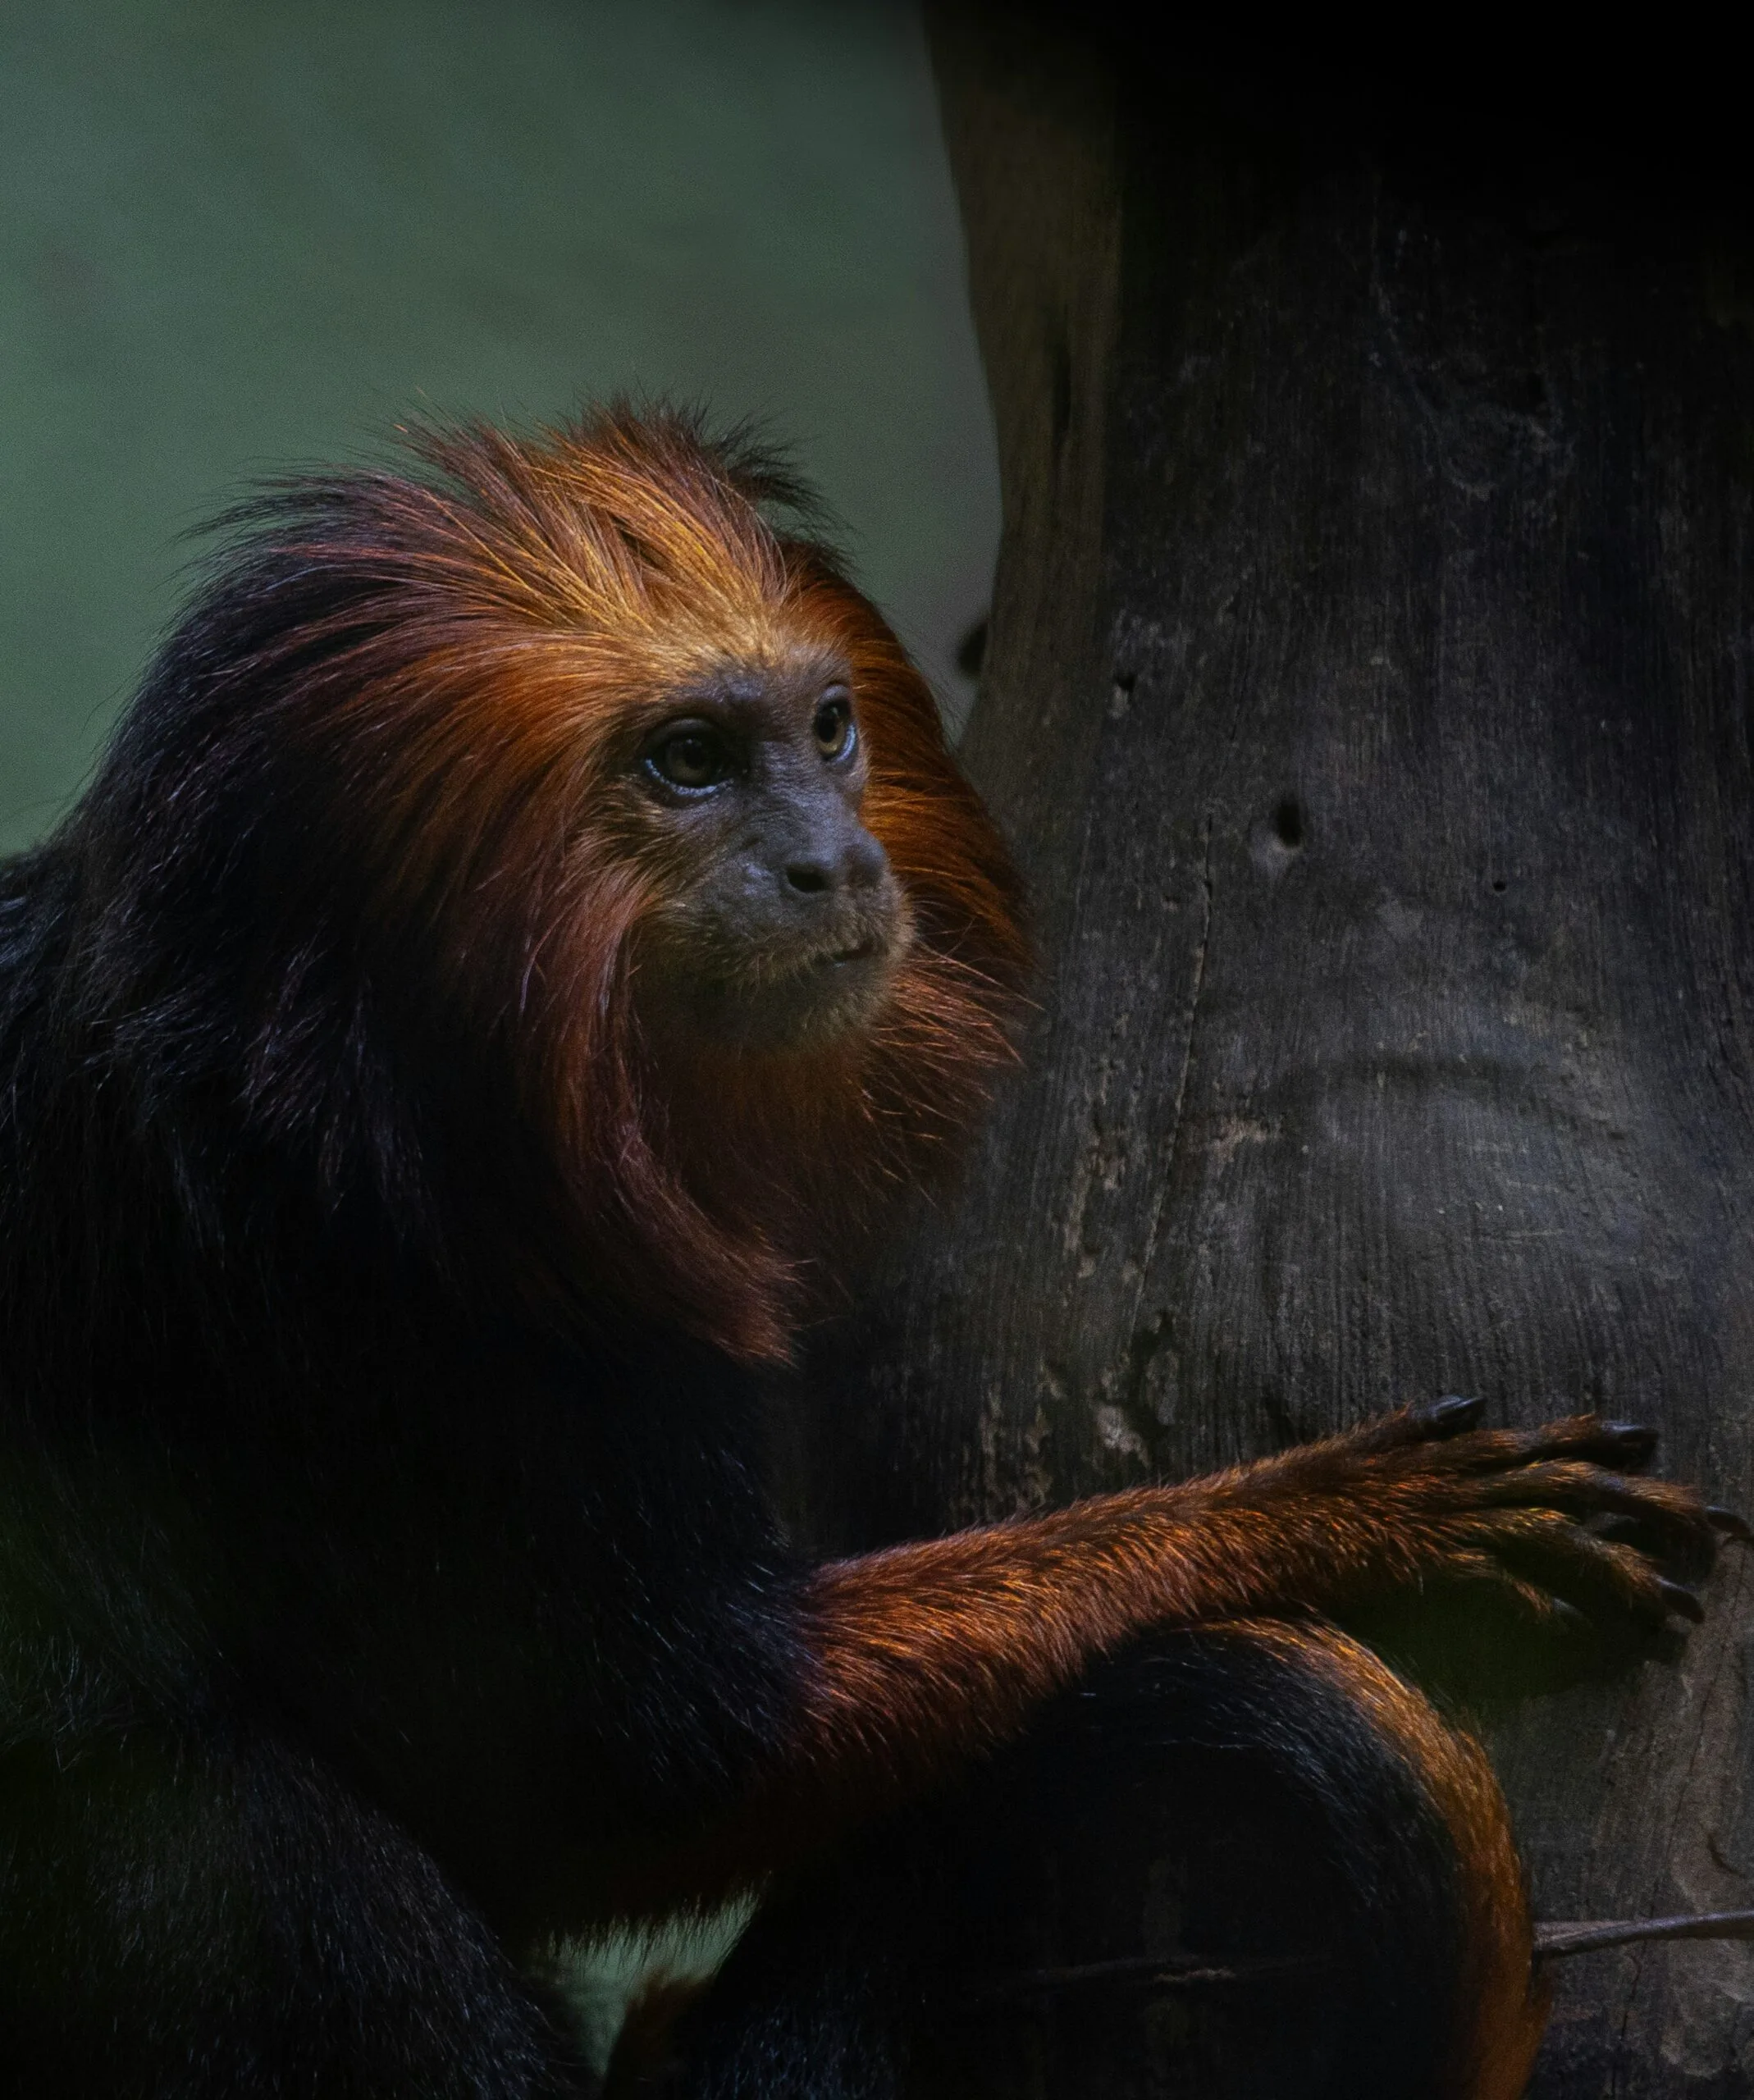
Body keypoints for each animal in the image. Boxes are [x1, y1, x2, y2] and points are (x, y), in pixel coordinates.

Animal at [0, 407, 1730, 2100]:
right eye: (689, 763)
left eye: (826, 732)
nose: (832, 861)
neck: (349, 1049)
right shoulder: (405, 1304)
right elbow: (640, 1767)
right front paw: (1322, 1521)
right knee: (195, 1820)